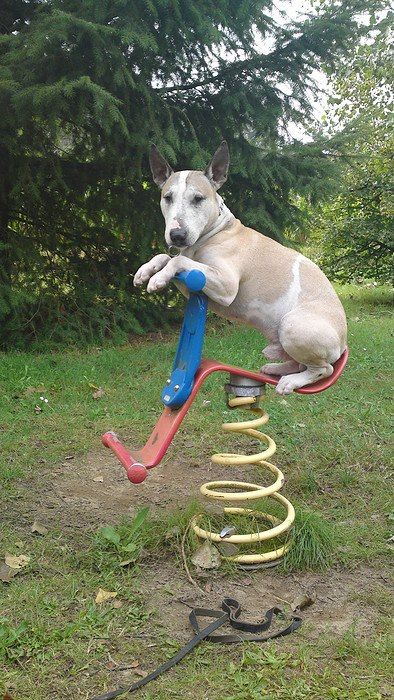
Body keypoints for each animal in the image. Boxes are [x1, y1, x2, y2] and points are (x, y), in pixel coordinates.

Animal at [134, 142, 346, 394]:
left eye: (198, 198)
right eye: (167, 197)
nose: (177, 235)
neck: (214, 231)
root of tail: (344, 343)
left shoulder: (225, 285)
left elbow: (177, 261)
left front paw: (158, 279)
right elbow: (165, 256)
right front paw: (146, 271)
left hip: (294, 325)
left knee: (323, 369)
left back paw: (291, 381)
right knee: (300, 363)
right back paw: (277, 369)